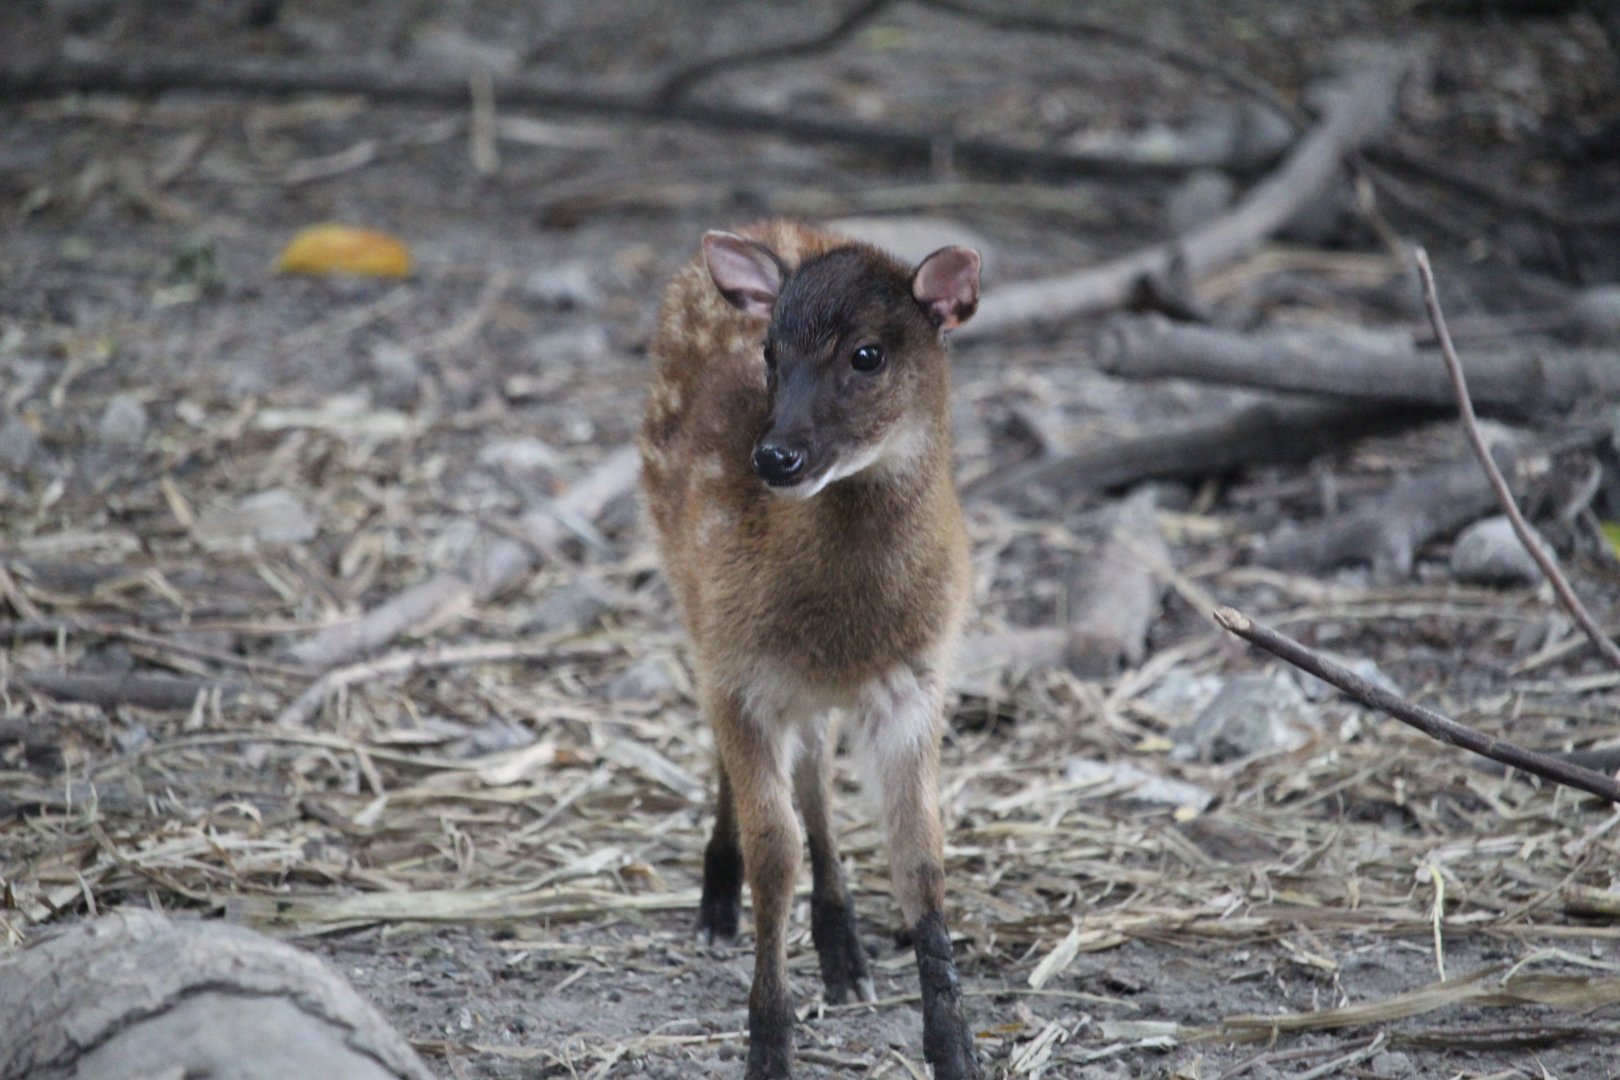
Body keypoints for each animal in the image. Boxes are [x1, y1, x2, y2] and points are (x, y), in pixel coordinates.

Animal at [639, 219, 983, 1080]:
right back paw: (718, 903)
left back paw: (844, 952)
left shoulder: (916, 679)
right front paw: (768, 1047)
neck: (845, 630)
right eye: (769, 353)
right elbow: (775, 853)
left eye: (867, 355)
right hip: (691, 600)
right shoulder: (739, 668)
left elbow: (920, 854)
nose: (774, 457)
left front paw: (954, 1047)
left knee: (816, 769)